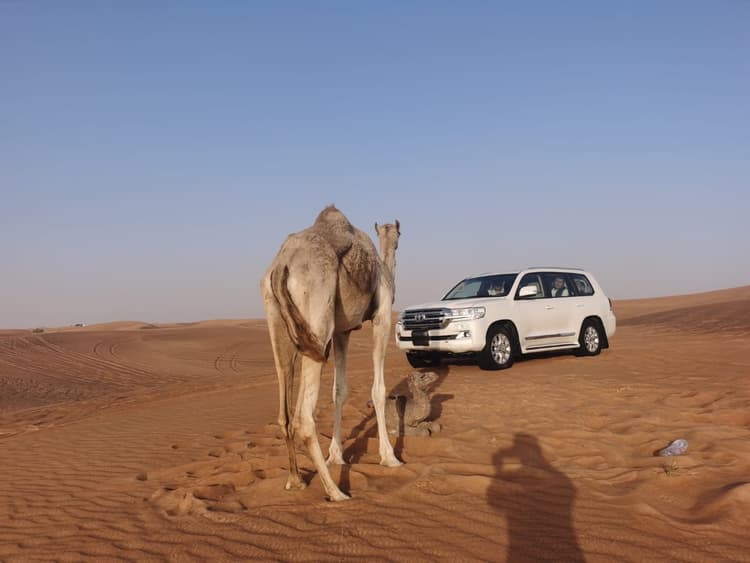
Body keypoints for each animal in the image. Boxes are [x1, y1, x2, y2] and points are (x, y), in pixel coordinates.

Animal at [260, 205, 401, 501]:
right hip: (317, 318)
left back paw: (295, 480)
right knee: (303, 418)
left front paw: (336, 456)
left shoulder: (342, 332)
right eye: (399, 233)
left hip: (278, 322)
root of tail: (280, 267)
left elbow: (339, 390)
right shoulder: (382, 316)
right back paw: (336, 492)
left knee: (285, 413)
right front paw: (389, 457)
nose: (396, 240)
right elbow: (378, 390)